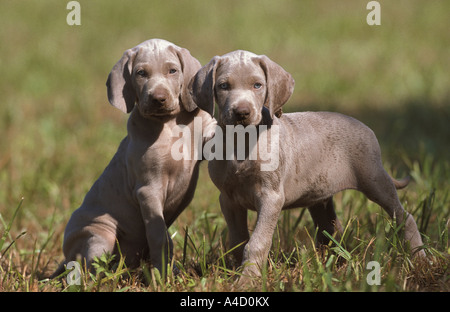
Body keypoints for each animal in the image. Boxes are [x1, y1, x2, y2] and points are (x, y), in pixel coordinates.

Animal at [51, 39, 216, 278]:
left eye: (173, 71)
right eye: (141, 73)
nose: (158, 99)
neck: (168, 124)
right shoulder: (148, 190)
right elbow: (159, 236)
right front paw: (163, 276)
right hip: (99, 234)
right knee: (89, 268)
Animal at [190, 50, 426, 280]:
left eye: (257, 85)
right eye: (223, 86)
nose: (242, 113)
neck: (241, 142)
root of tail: (365, 126)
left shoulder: (271, 197)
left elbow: (257, 242)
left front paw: (248, 280)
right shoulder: (228, 199)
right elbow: (238, 240)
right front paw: (235, 274)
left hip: (374, 179)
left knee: (405, 217)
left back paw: (420, 260)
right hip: (320, 196)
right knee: (332, 229)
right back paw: (335, 266)